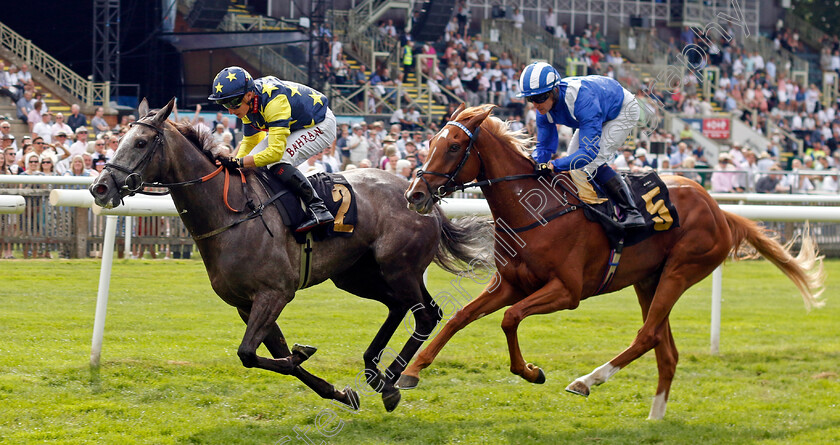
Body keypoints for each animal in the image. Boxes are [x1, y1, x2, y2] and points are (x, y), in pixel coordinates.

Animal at [398, 104, 824, 416]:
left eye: (455, 146)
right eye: (431, 141)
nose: (415, 193)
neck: (536, 212)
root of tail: (720, 210)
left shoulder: (567, 291)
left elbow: (510, 318)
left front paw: (531, 372)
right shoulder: (510, 283)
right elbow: (460, 317)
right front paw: (411, 371)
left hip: (681, 270)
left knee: (647, 336)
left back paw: (586, 381)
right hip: (648, 281)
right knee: (666, 350)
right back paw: (654, 418)